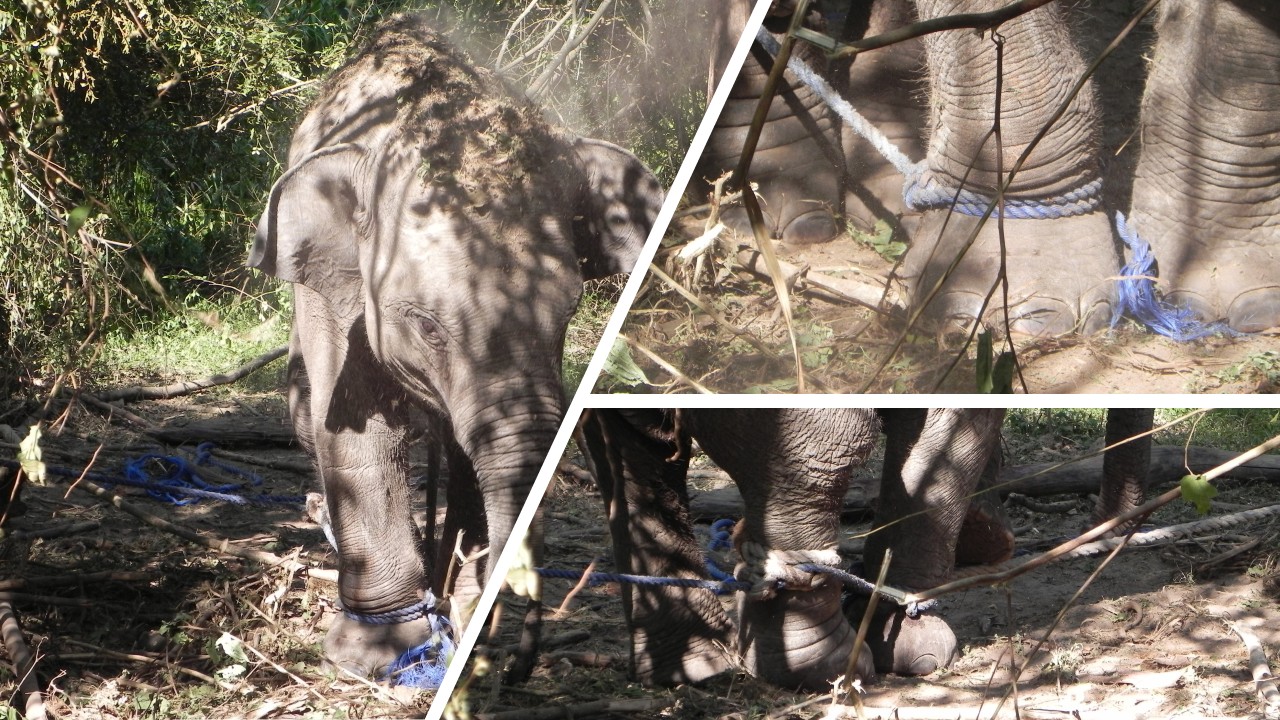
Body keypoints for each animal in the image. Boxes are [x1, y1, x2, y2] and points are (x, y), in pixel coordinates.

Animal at [247, 14, 661, 678]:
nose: (516, 662)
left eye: (569, 310)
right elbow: (357, 430)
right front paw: (381, 650)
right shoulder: (336, 295)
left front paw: (465, 608)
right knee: (309, 417)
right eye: (427, 324)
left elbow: (475, 451)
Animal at [574, 408, 1153, 690]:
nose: (1117, 526)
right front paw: (915, 645)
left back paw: (694, 666)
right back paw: (822, 663)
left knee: (632, 441)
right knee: (822, 442)